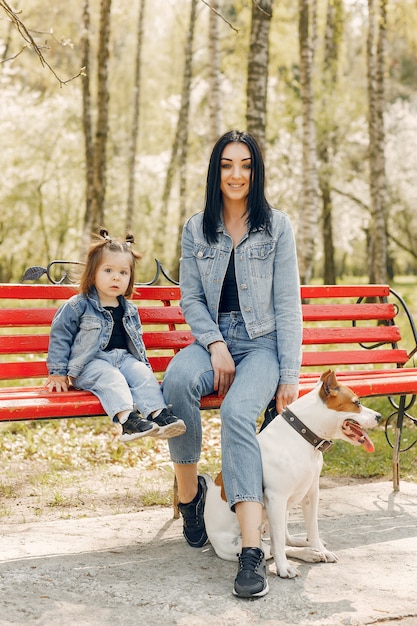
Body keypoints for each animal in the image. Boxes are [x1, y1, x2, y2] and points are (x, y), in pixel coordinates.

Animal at [203, 368, 378, 576]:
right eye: (356, 402)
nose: (379, 417)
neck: (303, 436)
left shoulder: (311, 493)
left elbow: (313, 528)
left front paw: (320, 548)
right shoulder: (277, 498)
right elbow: (278, 543)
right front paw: (284, 567)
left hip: (282, 513)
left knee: (285, 539)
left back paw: (307, 547)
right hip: (242, 540)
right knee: (272, 547)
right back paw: (304, 554)